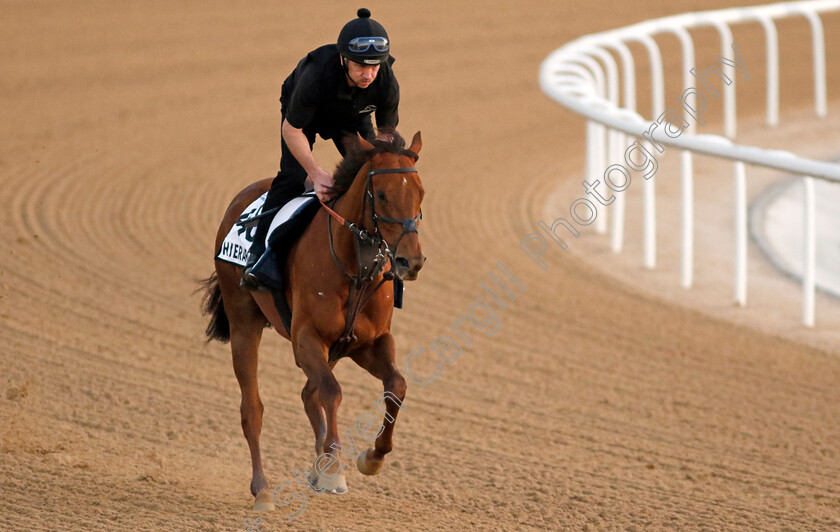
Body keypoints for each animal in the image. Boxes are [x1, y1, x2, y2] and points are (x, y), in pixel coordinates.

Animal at [200, 129, 426, 512]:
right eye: (381, 194)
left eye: (420, 193)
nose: (411, 261)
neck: (356, 268)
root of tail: (241, 198)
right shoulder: (306, 339)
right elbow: (332, 391)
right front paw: (334, 469)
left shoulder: (370, 342)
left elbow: (396, 386)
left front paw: (372, 458)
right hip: (244, 321)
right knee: (253, 408)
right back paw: (263, 490)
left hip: (334, 349)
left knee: (309, 393)